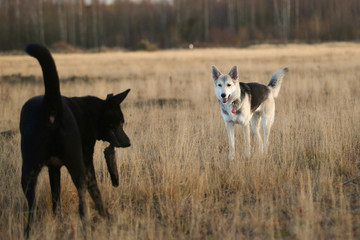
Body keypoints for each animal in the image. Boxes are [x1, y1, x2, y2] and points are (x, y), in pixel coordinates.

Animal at [20, 44, 131, 235]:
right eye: (119, 122)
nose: (128, 142)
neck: (92, 112)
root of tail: (51, 109)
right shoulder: (86, 160)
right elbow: (95, 191)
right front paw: (107, 217)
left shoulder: (53, 167)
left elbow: (55, 197)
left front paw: (59, 221)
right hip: (76, 164)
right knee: (82, 201)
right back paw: (86, 226)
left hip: (29, 168)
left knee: (32, 207)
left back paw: (29, 232)